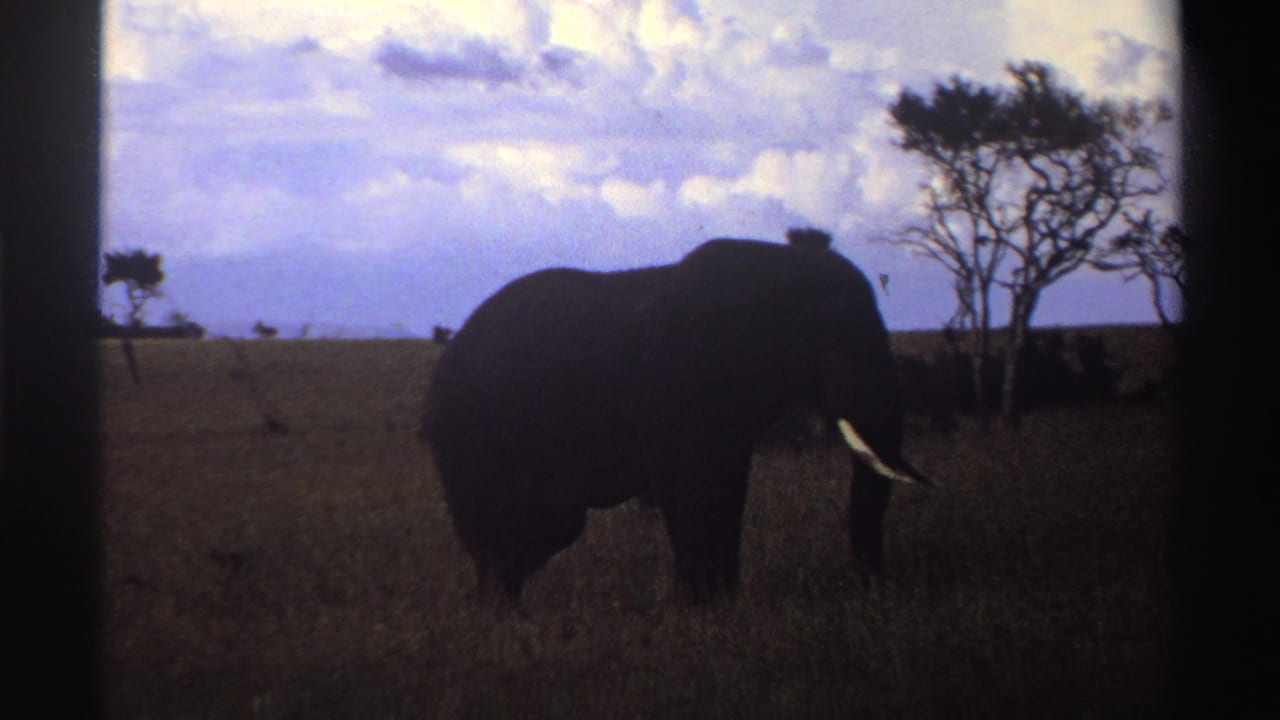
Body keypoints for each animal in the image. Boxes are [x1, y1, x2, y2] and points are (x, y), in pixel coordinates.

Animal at [421, 232, 929, 602]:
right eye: (827, 344)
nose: (876, 594)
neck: (775, 265)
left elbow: (728, 485)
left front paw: (722, 604)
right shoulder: (673, 384)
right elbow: (688, 485)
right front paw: (701, 607)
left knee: (548, 526)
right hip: (469, 431)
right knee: (500, 522)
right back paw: (497, 608)